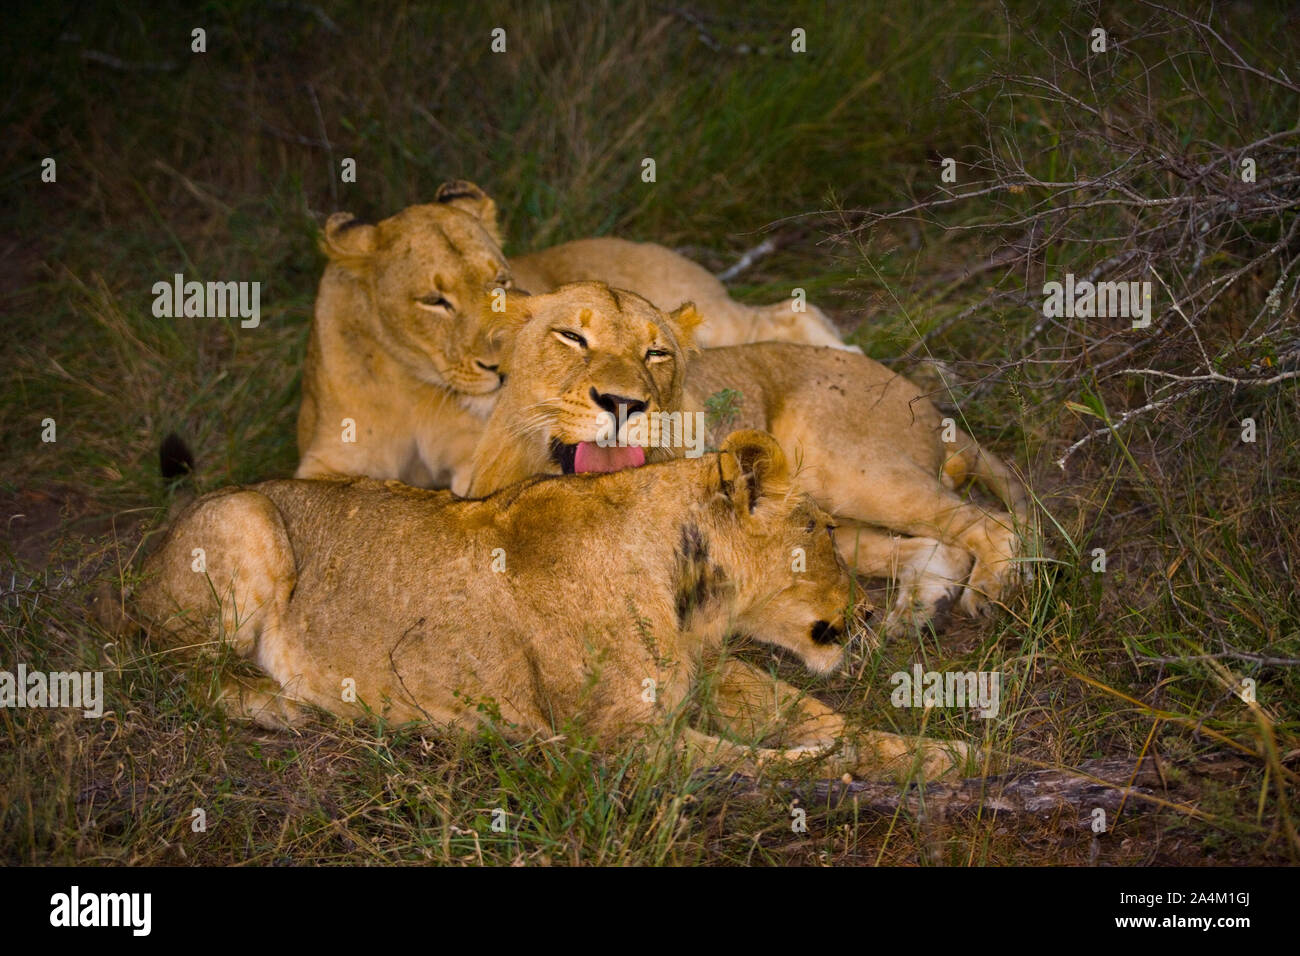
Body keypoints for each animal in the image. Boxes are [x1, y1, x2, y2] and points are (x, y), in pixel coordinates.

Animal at [137, 429, 972, 780]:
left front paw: (945, 754)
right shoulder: (615, 744)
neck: (691, 597)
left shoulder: (706, 675)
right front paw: (835, 766)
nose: (868, 613)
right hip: (247, 521)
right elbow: (766, 762)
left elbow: (824, 718)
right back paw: (277, 703)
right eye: (823, 530)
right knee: (167, 664)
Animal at [297, 180, 852, 494]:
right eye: (434, 301)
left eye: (501, 285)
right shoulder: (327, 459)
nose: (501, 369)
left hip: (712, 319)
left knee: (791, 314)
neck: (414, 383)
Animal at [467, 282, 1034, 634]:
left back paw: (984, 595)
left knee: (993, 522)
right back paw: (916, 614)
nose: (624, 402)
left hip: (852, 467)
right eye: (572, 337)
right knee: (937, 546)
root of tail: (924, 398)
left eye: (656, 352)